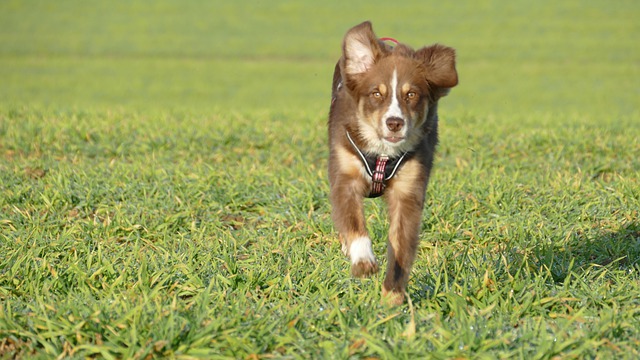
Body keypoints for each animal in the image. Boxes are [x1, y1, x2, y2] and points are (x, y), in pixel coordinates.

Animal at [328, 21, 458, 306]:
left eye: (411, 94)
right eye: (377, 93)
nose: (394, 123)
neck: (383, 153)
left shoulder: (409, 191)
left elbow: (400, 247)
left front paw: (392, 300)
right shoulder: (345, 176)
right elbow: (353, 223)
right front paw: (363, 260)